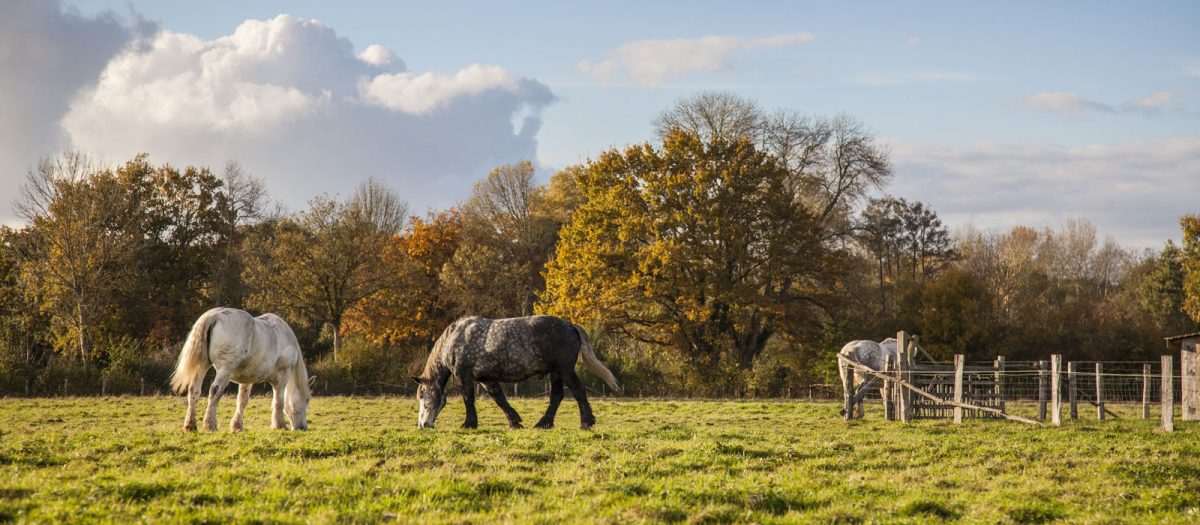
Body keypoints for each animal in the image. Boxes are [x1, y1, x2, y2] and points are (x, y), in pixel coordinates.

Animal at [174, 306, 316, 431]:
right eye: (307, 400)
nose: (302, 428)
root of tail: (214, 315)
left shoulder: (247, 379)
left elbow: (242, 400)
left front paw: (237, 426)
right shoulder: (281, 378)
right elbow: (279, 401)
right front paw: (279, 425)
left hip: (202, 366)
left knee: (194, 390)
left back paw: (190, 425)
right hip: (224, 370)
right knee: (215, 391)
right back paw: (210, 425)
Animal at [412, 316, 619, 431]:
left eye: (422, 395)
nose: (423, 425)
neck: (456, 338)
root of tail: (571, 326)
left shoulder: (464, 376)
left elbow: (468, 399)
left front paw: (469, 424)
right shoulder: (486, 379)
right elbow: (499, 399)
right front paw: (515, 422)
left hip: (565, 370)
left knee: (578, 391)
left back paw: (586, 422)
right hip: (555, 372)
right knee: (557, 396)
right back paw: (544, 423)